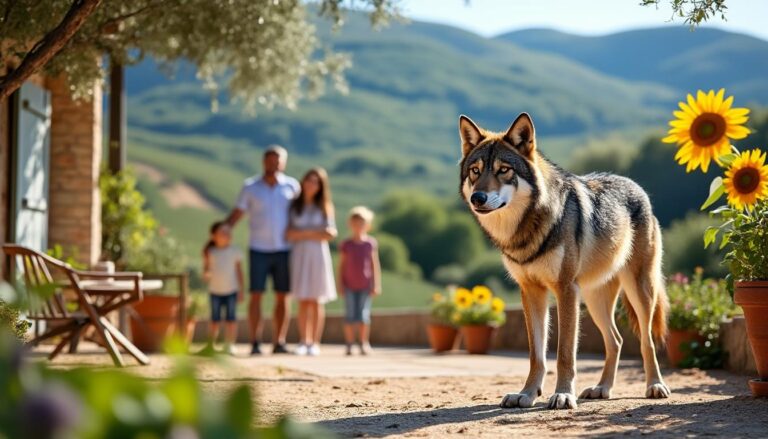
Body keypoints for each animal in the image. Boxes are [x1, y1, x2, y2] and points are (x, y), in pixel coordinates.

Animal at [458, 113, 670, 410]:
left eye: (504, 170)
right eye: (475, 171)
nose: (478, 197)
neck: (527, 228)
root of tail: (635, 185)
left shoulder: (566, 290)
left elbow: (564, 354)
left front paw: (563, 395)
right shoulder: (531, 292)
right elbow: (536, 355)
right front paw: (526, 394)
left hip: (639, 291)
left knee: (646, 341)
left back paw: (655, 386)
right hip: (594, 300)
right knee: (615, 341)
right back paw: (602, 388)